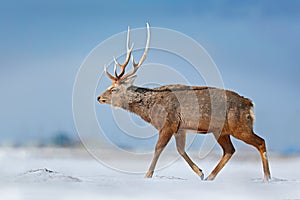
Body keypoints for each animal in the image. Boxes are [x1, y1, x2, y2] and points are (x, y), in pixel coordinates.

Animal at [97, 23, 270, 181]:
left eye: (113, 89)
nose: (99, 97)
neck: (150, 109)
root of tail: (249, 103)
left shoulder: (169, 122)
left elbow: (158, 148)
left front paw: (147, 175)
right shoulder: (180, 128)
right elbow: (180, 150)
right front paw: (200, 172)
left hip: (239, 125)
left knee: (260, 142)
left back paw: (267, 178)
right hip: (221, 130)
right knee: (230, 150)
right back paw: (210, 177)